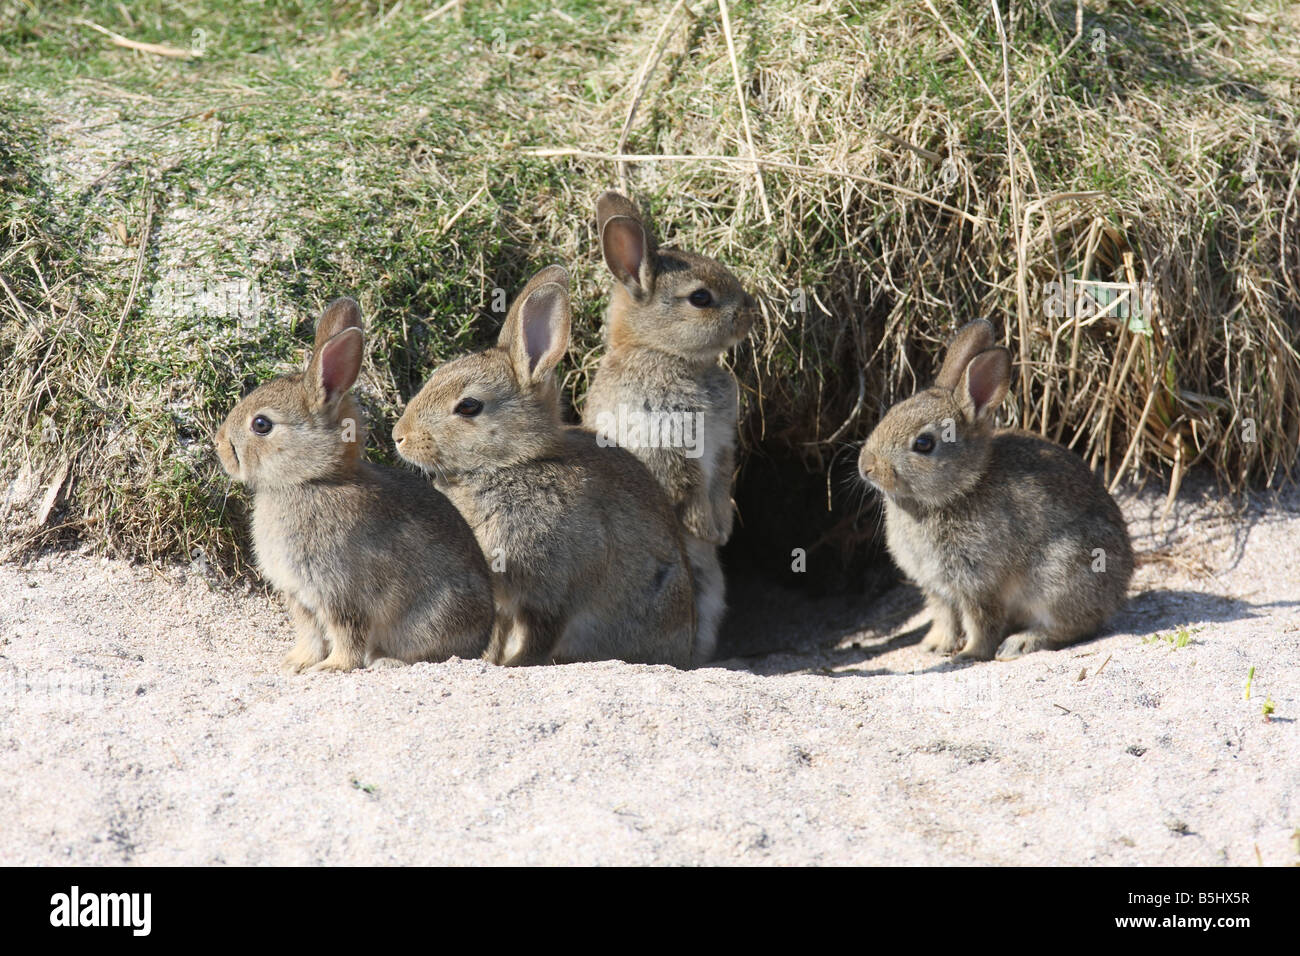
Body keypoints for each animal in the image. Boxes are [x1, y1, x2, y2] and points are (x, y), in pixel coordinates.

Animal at [214, 297, 495, 673]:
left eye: (261, 424)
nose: (219, 445)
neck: (312, 481)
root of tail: (484, 636)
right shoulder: (301, 597)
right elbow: (310, 633)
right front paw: (297, 663)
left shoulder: (341, 593)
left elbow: (346, 633)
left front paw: (332, 667)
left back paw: (389, 661)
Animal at [392, 264, 697, 668]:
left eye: (469, 406)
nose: (399, 436)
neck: (512, 465)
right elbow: (499, 631)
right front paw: (492, 661)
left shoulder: (552, 591)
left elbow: (539, 634)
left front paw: (513, 664)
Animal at [581, 190, 758, 664]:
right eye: (701, 298)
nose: (749, 314)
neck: (659, 351)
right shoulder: (667, 442)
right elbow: (688, 492)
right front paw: (708, 530)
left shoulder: (722, 449)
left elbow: (719, 486)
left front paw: (722, 530)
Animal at [857, 319, 1133, 661]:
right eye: (892, 412)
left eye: (923, 443)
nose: (866, 466)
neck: (958, 491)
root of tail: (1121, 588)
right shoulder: (937, 587)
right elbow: (944, 616)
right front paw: (935, 646)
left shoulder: (978, 582)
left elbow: (980, 621)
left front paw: (969, 654)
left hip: (1060, 575)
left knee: (1075, 625)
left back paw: (1022, 642)